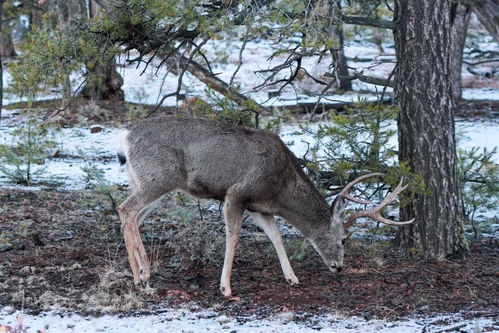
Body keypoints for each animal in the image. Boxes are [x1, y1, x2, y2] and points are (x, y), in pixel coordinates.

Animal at [117, 116, 414, 296]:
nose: (339, 267)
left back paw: (138, 274)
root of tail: (125, 137)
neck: (281, 187)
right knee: (125, 209)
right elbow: (233, 237)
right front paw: (225, 288)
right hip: (159, 177)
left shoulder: (260, 207)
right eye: (343, 239)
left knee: (132, 216)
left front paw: (292, 278)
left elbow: (276, 236)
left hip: (146, 181)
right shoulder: (236, 193)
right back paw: (143, 275)